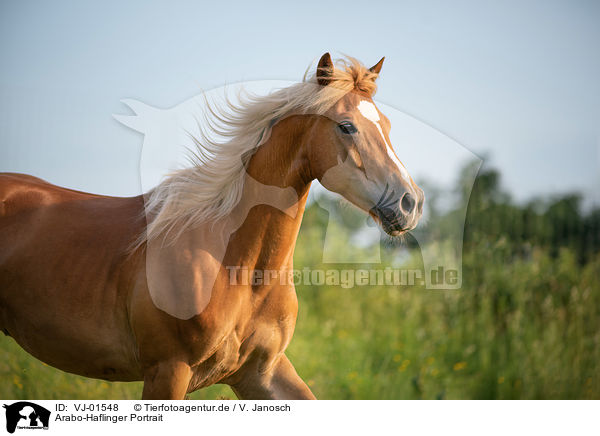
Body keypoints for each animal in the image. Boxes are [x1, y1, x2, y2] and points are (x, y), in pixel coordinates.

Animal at [0, 53, 424, 398]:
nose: (410, 202)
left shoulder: (263, 372)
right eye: (346, 126)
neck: (235, 264)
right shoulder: (167, 372)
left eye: (386, 125)